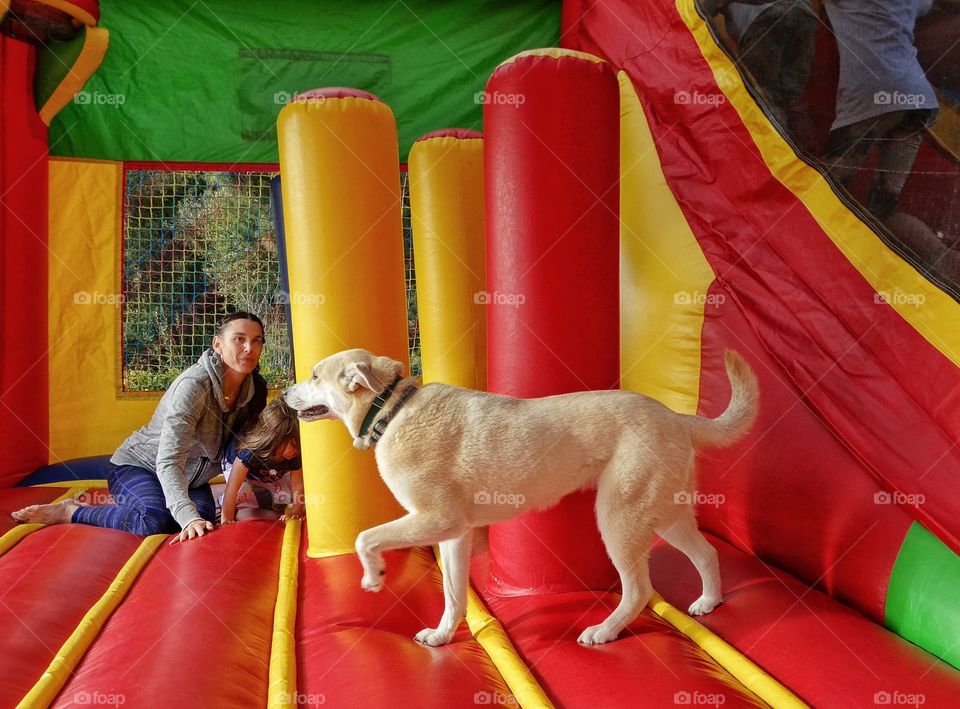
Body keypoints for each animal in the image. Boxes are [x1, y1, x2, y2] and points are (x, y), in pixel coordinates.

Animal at [284, 348, 756, 648]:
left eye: (315, 375)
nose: (284, 393)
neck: (391, 409)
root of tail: (677, 417)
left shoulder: (436, 519)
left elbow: (365, 538)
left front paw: (374, 576)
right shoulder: (454, 534)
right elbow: (453, 595)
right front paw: (442, 636)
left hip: (619, 519)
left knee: (639, 589)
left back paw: (605, 631)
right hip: (667, 516)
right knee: (707, 554)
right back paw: (709, 601)